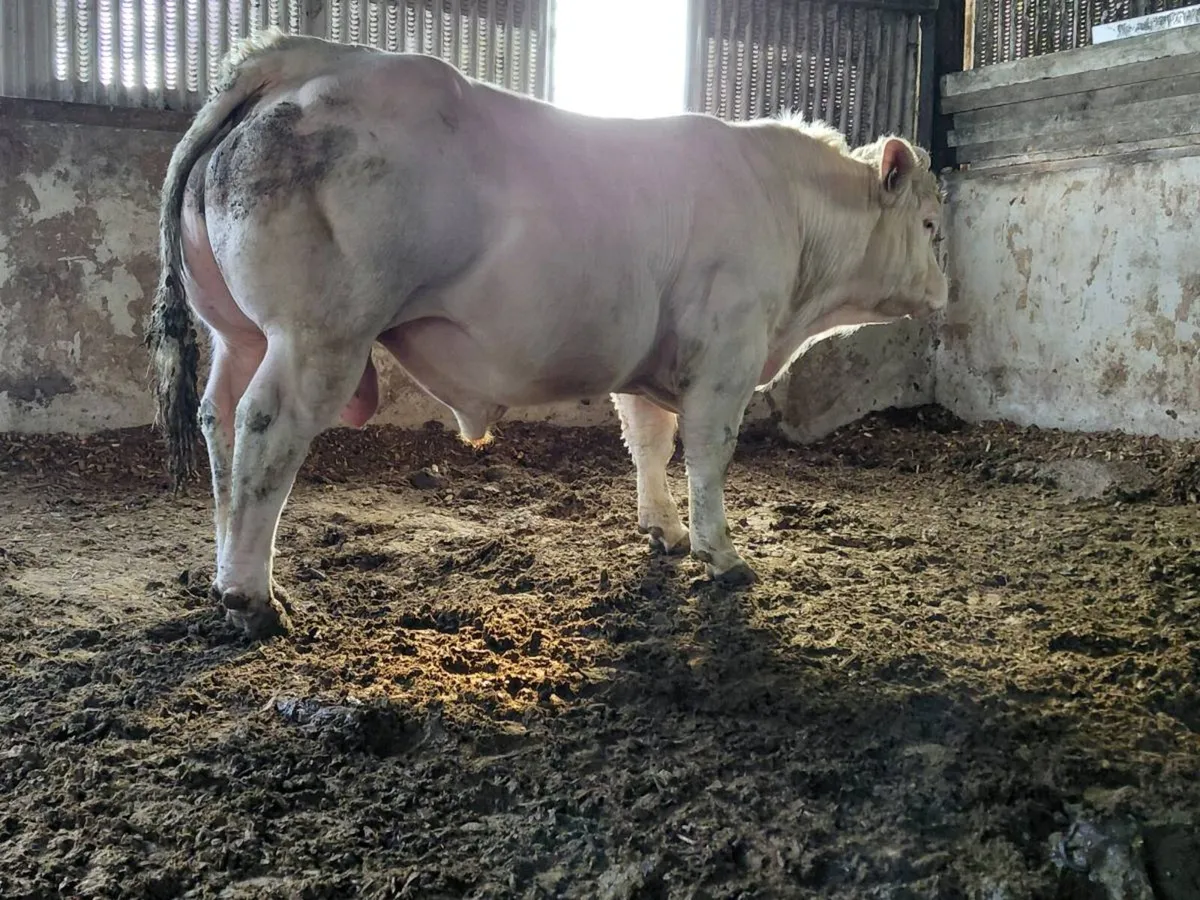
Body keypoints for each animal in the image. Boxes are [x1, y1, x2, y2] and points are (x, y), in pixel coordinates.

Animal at [146, 30, 948, 640]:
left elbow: (649, 444)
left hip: (240, 333)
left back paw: (227, 569)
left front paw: (664, 532)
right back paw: (254, 598)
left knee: (219, 419)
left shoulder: (652, 360)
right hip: (317, 334)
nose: (945, 293)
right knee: (267, 429)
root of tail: (305, 56)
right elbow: (708, 455)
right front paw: (721, 553)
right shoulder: (728, 350)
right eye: (933, 224)